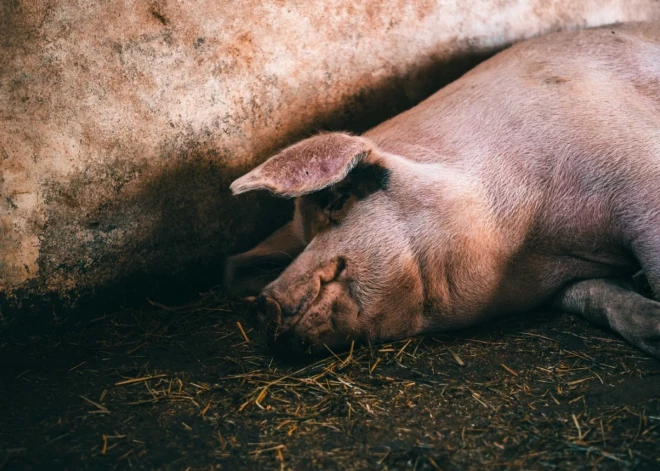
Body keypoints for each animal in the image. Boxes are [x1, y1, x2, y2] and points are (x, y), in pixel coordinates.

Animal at [226, 23, 660, 358]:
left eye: (335, 200)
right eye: (302, 240)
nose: (261, 306)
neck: (531, 243)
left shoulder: (633, 167)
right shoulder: (560, 281)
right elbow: (599, 297)